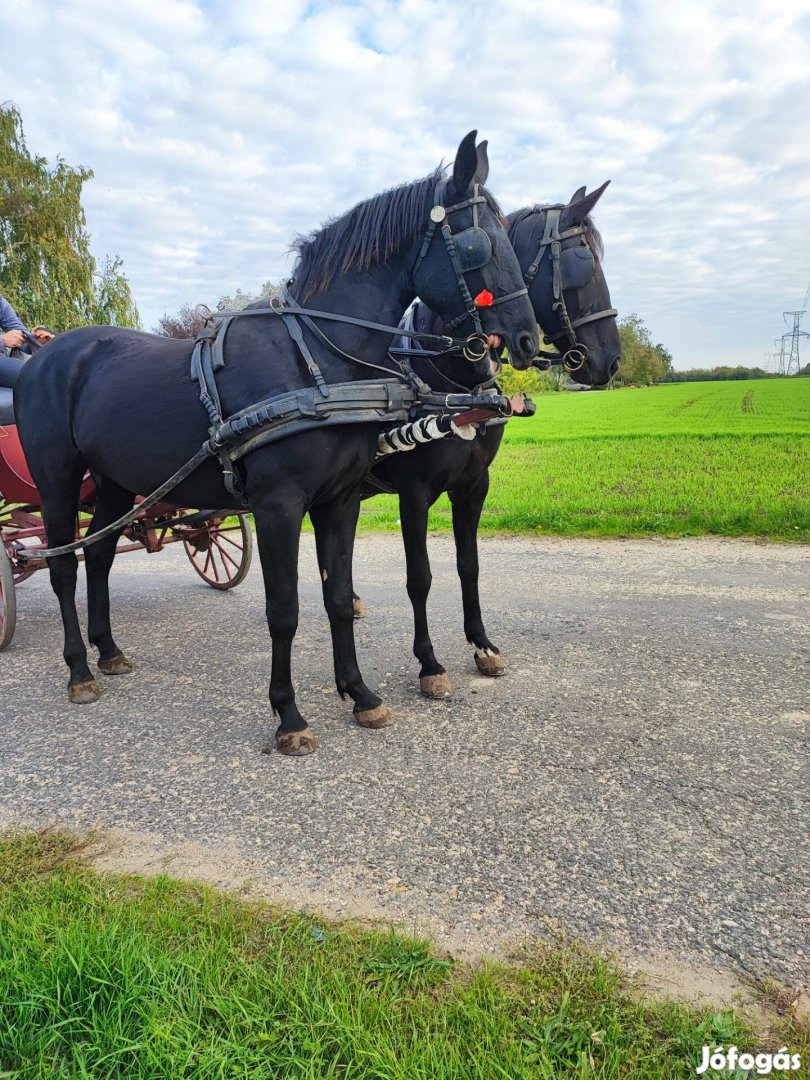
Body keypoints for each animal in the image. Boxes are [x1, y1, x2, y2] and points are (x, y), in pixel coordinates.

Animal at [12, 132, 542, 751]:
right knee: (63, 567)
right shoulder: (279, 505)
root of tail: (43, 355)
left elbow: (337, 597)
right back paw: (78, 669)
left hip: (118, 484)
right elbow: (284, 608)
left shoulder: (340, 501)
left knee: (97, 554)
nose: (528, 338)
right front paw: (289, 714)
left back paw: (109, 651)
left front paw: (360, 695)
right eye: (478, 242)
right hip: (57, 481)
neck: (318, 360)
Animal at [354, 182, 622, 695]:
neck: (450, 379)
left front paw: (481, 644)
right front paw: (429, 663)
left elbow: (469, 565)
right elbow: (420, 576)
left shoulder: (474, 486)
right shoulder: (414, 494)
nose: (613, 361)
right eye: (583, 262)